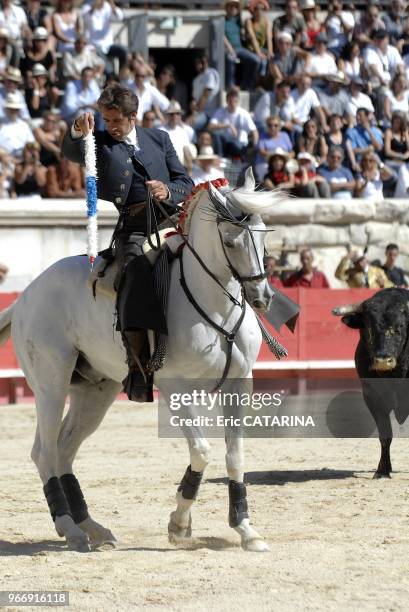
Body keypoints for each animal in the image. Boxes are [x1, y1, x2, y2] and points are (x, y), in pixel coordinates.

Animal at [0, 169, 286, 556]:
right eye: (229, 241)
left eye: (261, 233)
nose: (261, 297)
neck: (214, 305)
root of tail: (26, 295)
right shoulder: (174, 388)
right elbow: (202, 451)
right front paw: (179, 525)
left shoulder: (240, 384)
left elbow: (234, 455)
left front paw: (245, 529)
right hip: (50, 385)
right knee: (44, 452)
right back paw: (70, 529)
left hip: (95, 392)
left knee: (62, 450)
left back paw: (93, 527)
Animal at [336, 290, 409, 480]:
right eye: (369, 328)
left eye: (400, 327)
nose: (383, 360)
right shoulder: (373, 398)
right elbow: (385, 435)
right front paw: (382, 471)